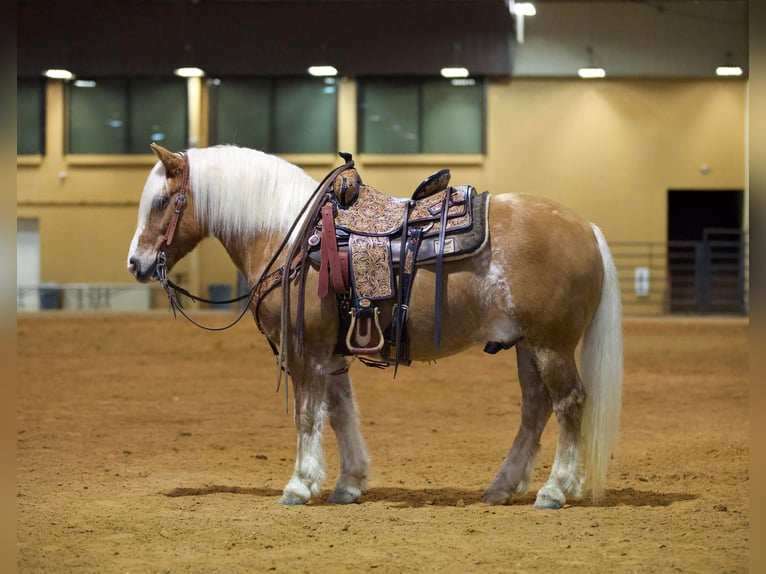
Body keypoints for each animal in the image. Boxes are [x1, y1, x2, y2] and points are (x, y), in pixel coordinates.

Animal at [127, 143, 624, 508]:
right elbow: (341, 412)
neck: (292, 236)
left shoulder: (307, 351)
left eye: (162, 202)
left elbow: (307, 414)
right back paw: (502, 486)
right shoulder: (331, 352)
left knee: (569, 403)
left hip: (550, 345)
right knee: (535, 409)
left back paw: (555, 489)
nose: (136, 263)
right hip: (525, 344)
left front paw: (299, 484)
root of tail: (586, 227)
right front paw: (349, 483)